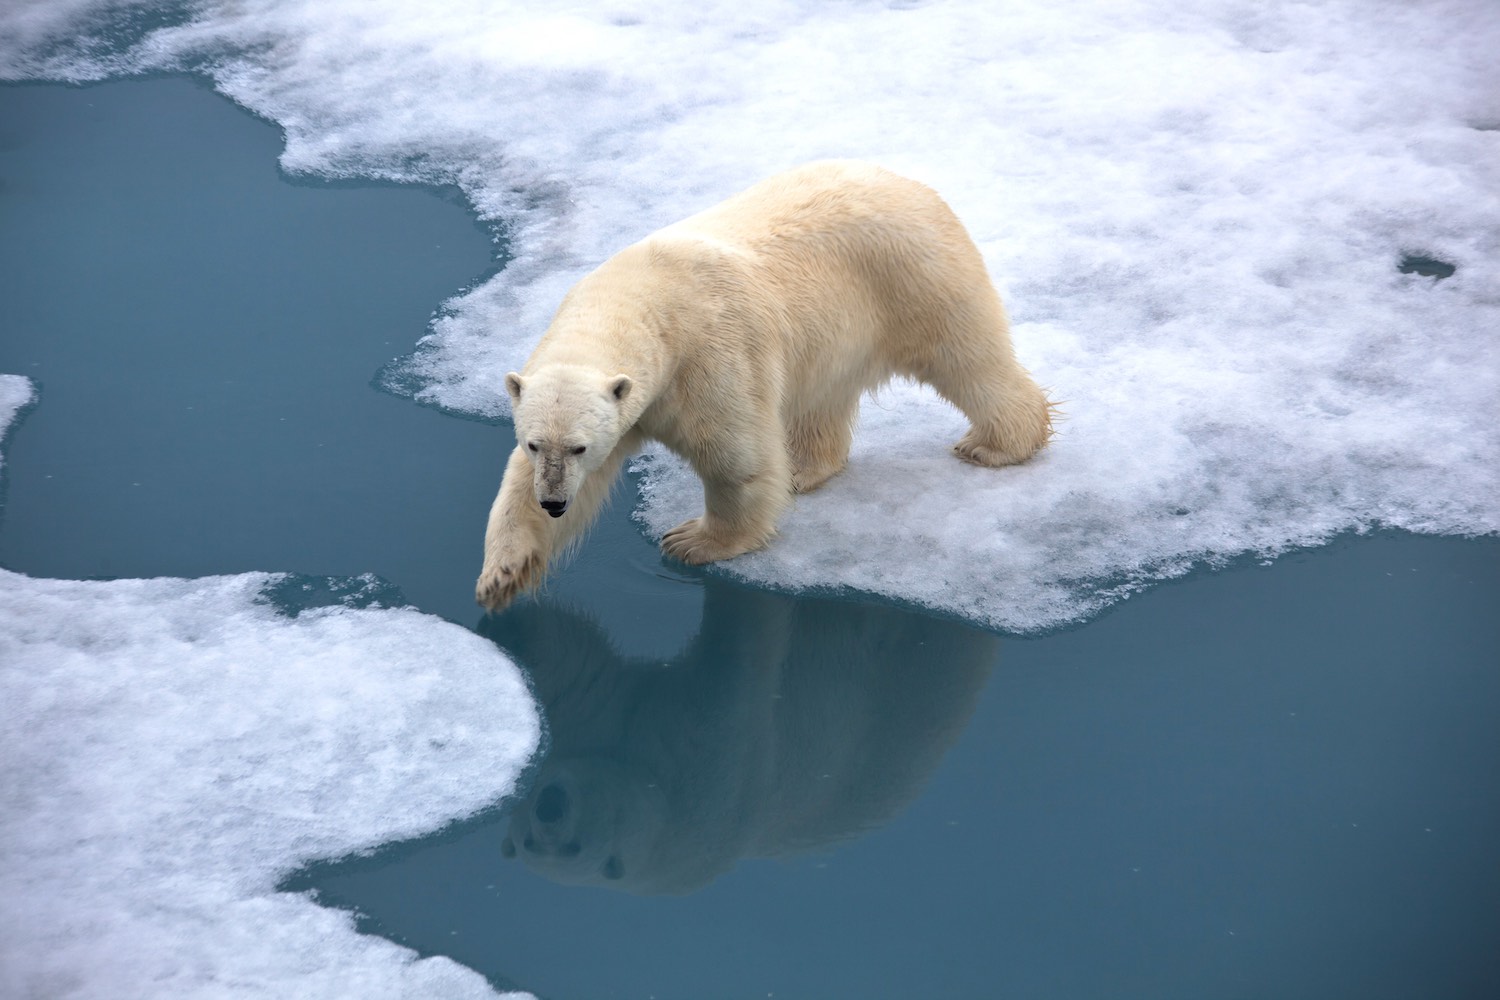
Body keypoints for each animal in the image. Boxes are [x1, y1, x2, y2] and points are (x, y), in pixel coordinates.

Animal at [474, 159, 1050, 611]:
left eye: (578, 445)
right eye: (536, 443)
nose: (553, 503)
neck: (643, 301)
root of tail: (909, 181)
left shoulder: (708, 356)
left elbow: (735, 458)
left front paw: (692, 540)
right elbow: (521, 483)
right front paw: (501, 575)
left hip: (914, 276)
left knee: (968, 358)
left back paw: (995, 445)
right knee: (822, 400)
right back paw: (802, 470)